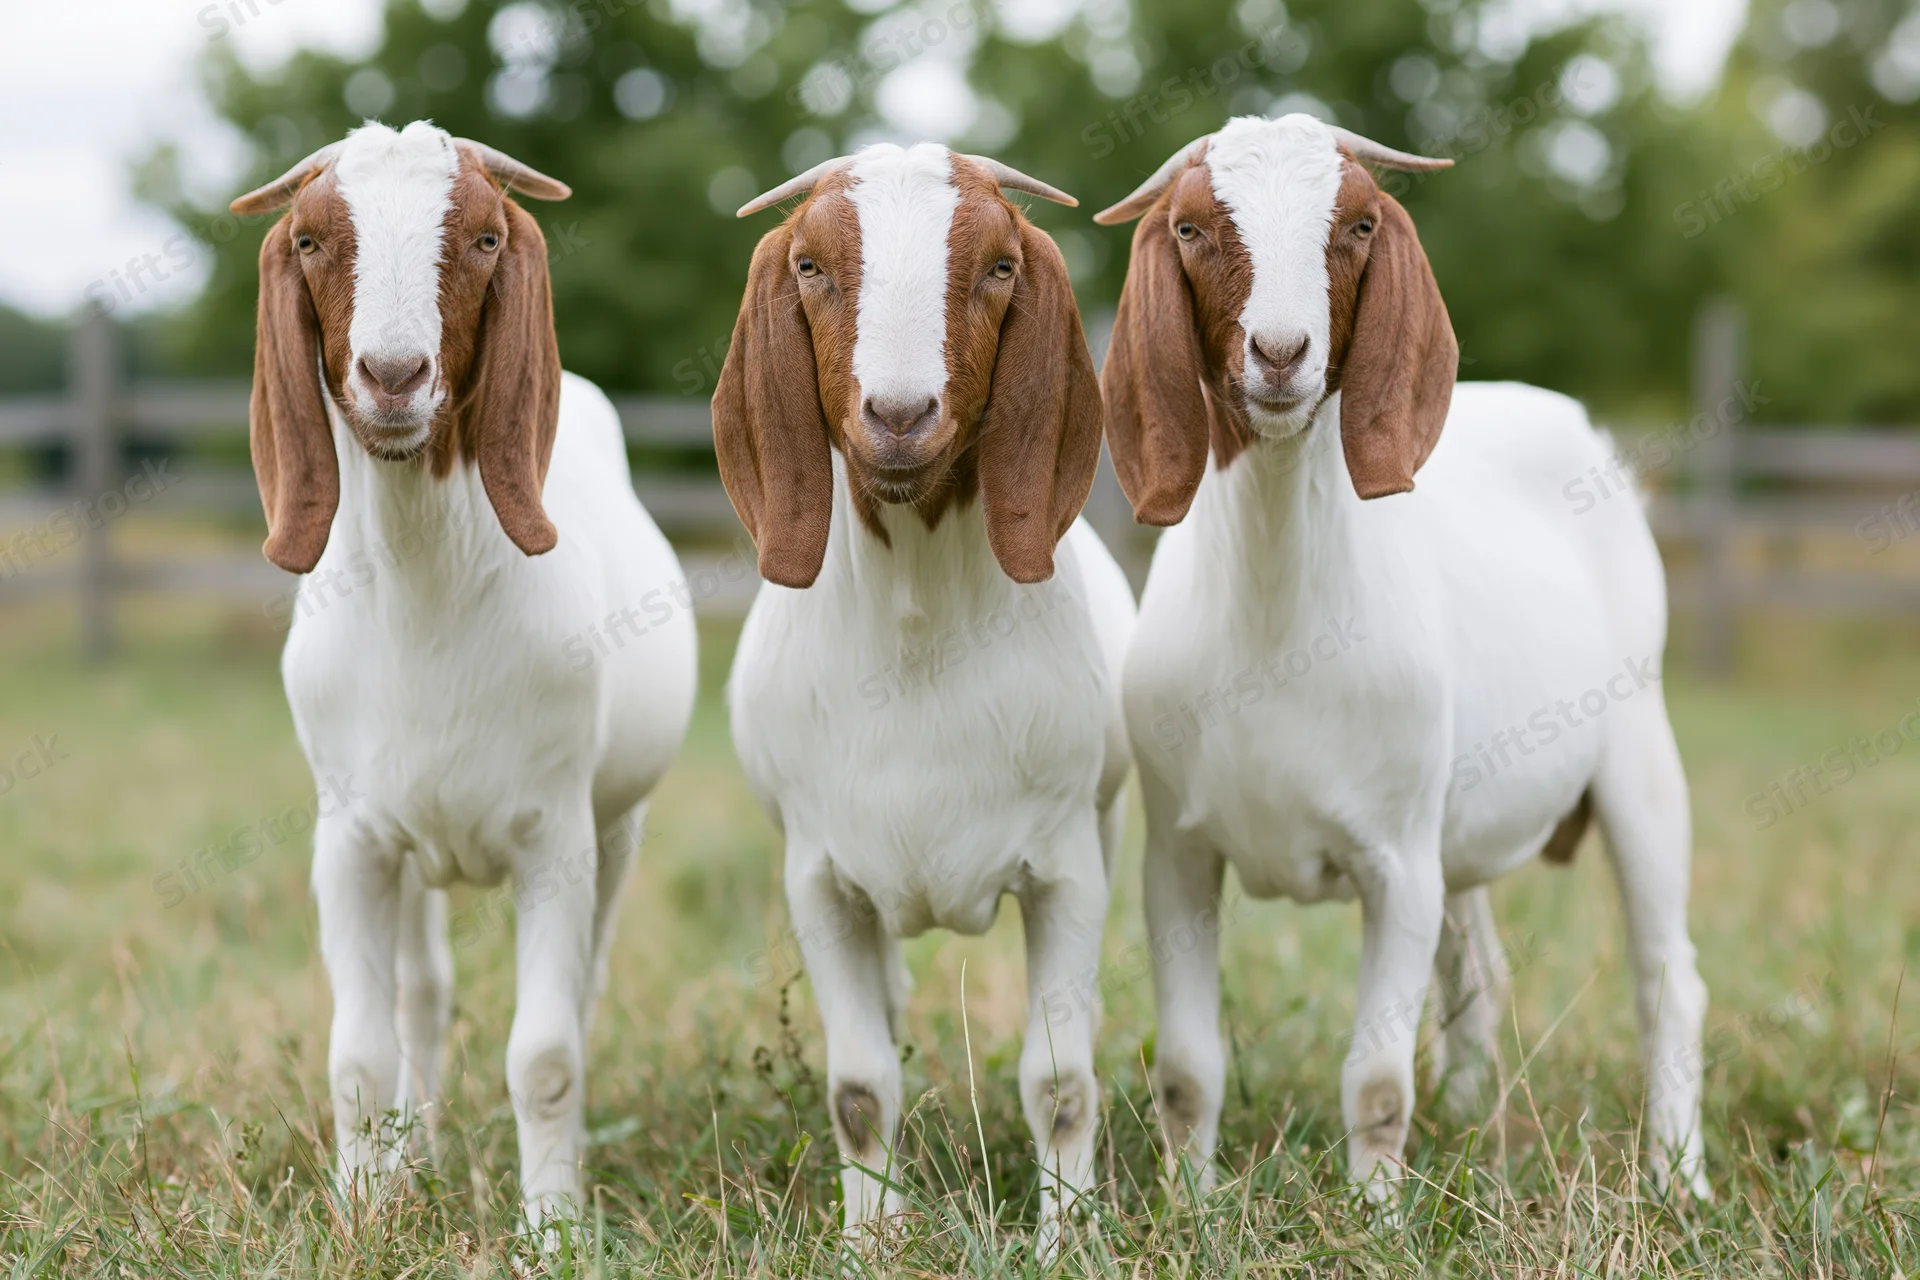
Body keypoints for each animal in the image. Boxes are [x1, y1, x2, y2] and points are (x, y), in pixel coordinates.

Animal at [230, 122, 697, 1229]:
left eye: (485, 237)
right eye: (310, 240)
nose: (394, 375)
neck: (428, 586)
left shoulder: (556, 839)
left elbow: (546, 1053)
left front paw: (553, 1226)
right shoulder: (353, 838)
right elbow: (360, 1053)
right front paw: (366, 1212)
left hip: (617, 825)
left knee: (585, 988)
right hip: (413, 850)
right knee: (421, 997)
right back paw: (419, 1159)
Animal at [716, 144, 1136, 1252]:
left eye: (998, 266)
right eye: (811, 265)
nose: (900, 416)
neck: (916, 638)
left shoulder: (1065, 868)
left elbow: (1061, 1080)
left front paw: (1065, 1240)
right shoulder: (818, 878)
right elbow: (860, 1086)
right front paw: (871, 1240)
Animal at [1094, 114, 1709, 1199]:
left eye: (1359, 223)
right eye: (1192, 228)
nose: (1281, 352)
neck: (1278, 619)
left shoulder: (1398, 860)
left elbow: (1377, 1079)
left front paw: (1376, 1210)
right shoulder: (1179, 854)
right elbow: (1187, 1069)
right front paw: (1189, 1205)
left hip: (1639, 749)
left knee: (1665, 975)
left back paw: (1679, 1178)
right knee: (1482, 974)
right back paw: (1471, 1117)